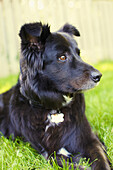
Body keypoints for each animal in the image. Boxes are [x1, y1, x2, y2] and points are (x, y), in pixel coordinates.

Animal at [0, 22, 111, 169]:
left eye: (79, 54)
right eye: (62, 57)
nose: (98, 76)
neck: (54, 110)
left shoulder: (90, 139)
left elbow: (100, 158)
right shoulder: (48, 153)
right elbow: (63, 161)